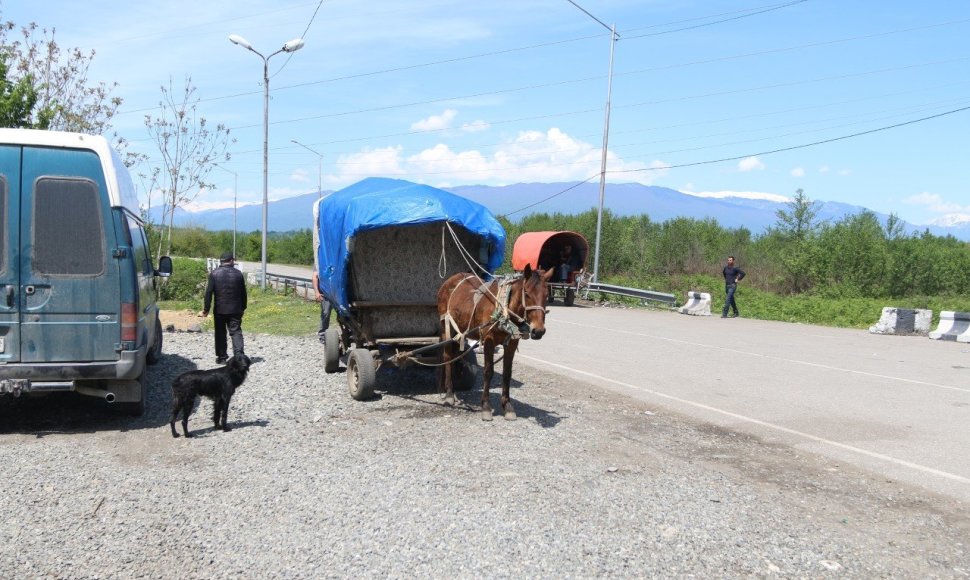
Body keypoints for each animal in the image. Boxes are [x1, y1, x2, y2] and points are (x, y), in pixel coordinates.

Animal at [432, 264, 548, 422]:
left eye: (546, 295)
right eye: (527, 293)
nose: (539, 331)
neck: (504, 308)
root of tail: (451, 280)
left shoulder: (512, 342)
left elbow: (507, 373)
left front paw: (507, 406)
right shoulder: (488, 340)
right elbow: (488, 371)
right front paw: (486, 407)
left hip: (460, 330)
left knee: (456, 354)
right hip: (447, 327)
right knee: (448, 357)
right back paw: (449, 394)